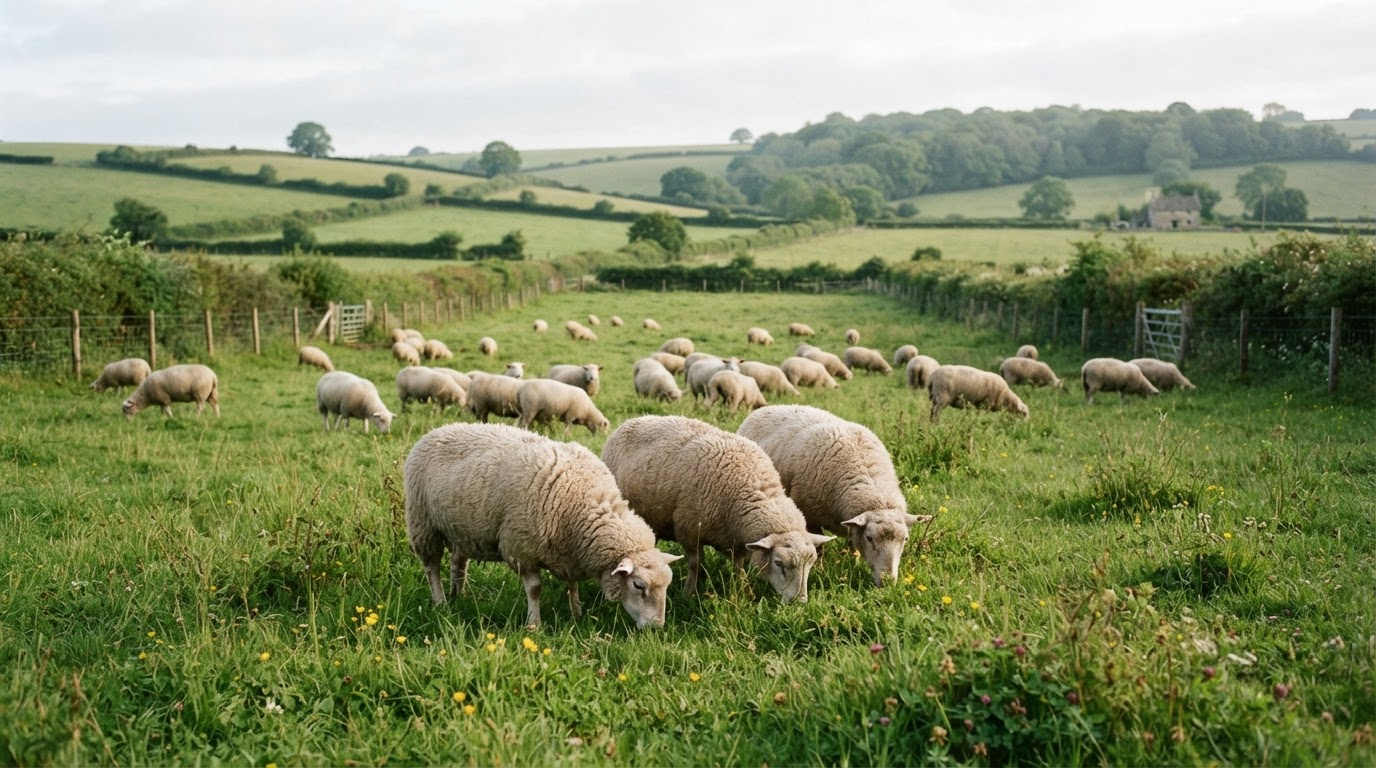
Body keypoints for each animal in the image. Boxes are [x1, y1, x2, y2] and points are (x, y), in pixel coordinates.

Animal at [404, 423, 680, 628]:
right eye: (638, 585)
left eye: (668, 584)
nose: (657, 627)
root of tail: (438, 430)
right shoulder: (522, 549)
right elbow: (535, 589)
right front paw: (533, 624)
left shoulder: (571, 553)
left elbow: (572, 584)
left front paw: (577, 612)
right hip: (423, 523)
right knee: (431, 566)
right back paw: (440, 602)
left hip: (460, 528)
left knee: (458, 561)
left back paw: (457, 595)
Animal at [601, 415, 833, 602]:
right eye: (779, 563)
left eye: (811, 563)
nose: (799, 602)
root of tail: (631, 421)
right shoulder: (688, 531)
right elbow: (695, 565)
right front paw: (689, 593)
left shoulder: (737, 541)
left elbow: (738, 566)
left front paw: (743, 589)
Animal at [738, 405, 929, 586]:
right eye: (869, 538)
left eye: (905, 539)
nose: (887, 581)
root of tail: (765, 408)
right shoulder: (811, 518)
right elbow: (819, 548)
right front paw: (819, 571)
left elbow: (852, 545)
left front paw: (853, 562)